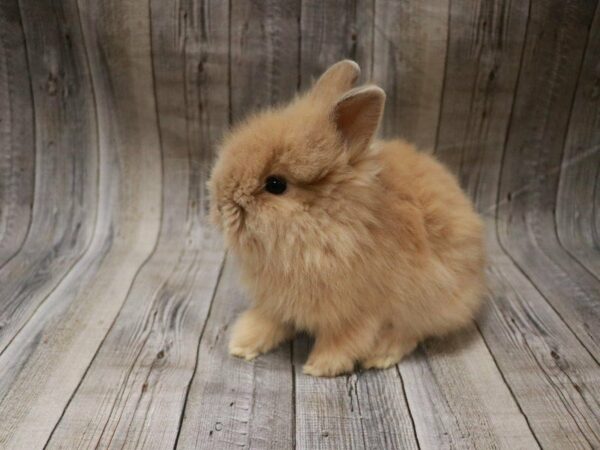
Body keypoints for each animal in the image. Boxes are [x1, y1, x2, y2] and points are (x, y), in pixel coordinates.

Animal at [209, 59, 486, 376]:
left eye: (276, 184)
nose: (220, 206)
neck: (329, 225)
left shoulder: (358, 312)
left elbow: (345, 340)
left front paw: (319, 367)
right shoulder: (275, 303)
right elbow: (267, 321)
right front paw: (242, 345)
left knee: (410, 332)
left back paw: (381, 355)